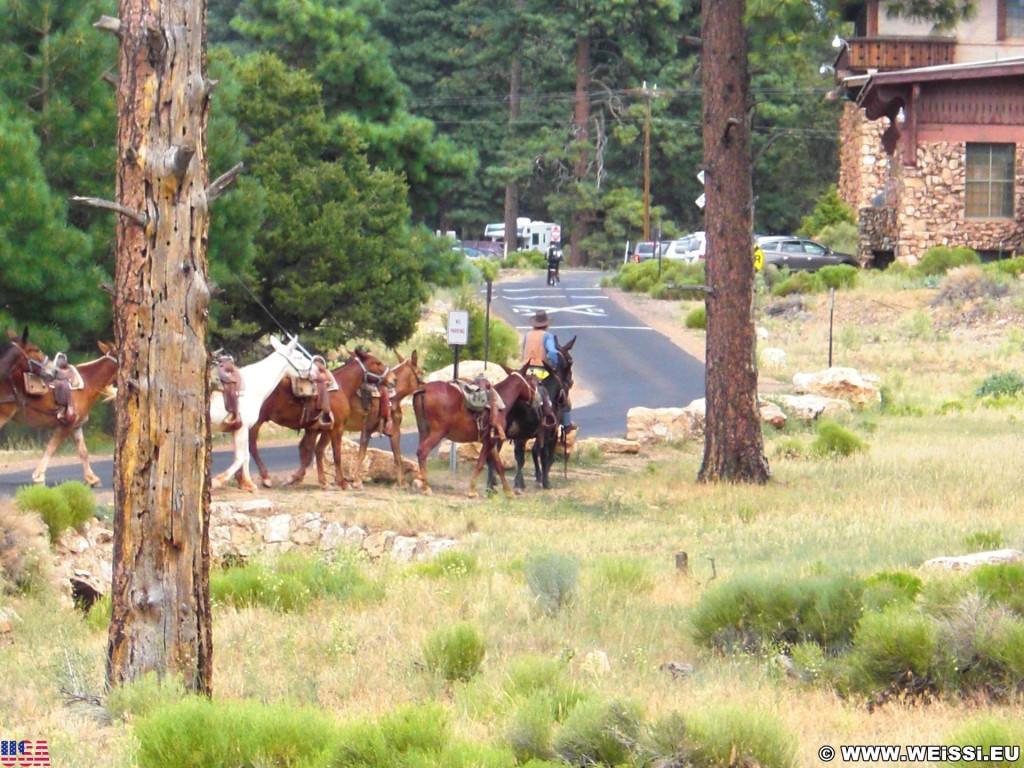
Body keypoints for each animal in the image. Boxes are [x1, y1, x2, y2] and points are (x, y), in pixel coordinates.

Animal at [0, 335, 116, 489]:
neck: (88, 383)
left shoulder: (76, 425)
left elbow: (83, 452)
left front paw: (92, 479)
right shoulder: (66, 425)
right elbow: (51, 447)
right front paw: (38, 477)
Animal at [207, 335, 303, 493]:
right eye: (299, 356)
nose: (317, 370)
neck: (255, 385)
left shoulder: (239, 429)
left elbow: (245, 456)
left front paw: (248, 483)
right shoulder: (242, 428)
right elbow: (240, 457)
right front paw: (216, 481)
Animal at [248, 350, 391, 489]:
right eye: (377, 362)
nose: (392, 378)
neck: (342, 387)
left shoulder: (314, 429)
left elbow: (309, 454)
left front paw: (300, 479)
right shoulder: (337, 427)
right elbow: (336, 454)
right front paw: (342, 483)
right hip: (255, 423)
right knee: (251, 446)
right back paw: (265, 478)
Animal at [311, 352, 423, 489]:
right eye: (421, 372)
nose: (425, 385)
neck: (394, 394)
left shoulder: (367, 430)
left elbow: (361, 454)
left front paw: (357, 480)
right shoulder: (394, 429)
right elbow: (397, 456)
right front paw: (401, 483)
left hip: (327, 429)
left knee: (319, 450)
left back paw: (324, 482)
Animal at [413, 366, 540, 499]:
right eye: (534, 382)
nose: (539, 400)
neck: (502, 401)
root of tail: (424, 389)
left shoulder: (491, 441)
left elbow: (499, 466)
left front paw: (508, 491)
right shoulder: (490, 442)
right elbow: (480, 464)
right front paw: (472, 490)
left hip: (423, 431)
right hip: (437, 433)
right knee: (422, 452)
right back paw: (426, 486)